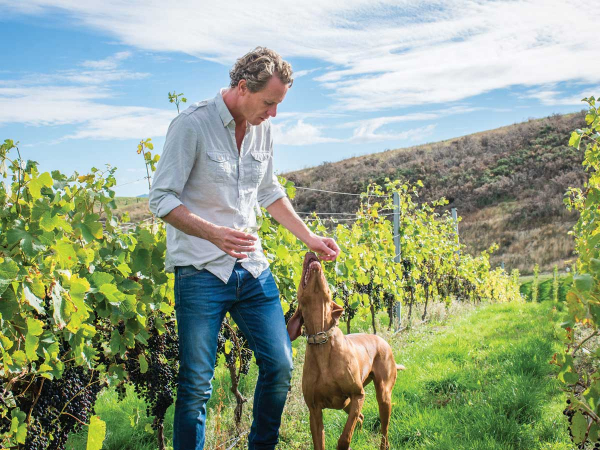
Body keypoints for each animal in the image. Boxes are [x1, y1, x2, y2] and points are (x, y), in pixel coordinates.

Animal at [286, 253, 404, 450]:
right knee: (361, 417)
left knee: (383, 429)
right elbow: (321, 442)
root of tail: (382, 340)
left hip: (382, 396)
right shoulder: (314, 410)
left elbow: (344, 438)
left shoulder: (358, 395)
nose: (311, 253)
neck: (322, 339)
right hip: (346, 403)